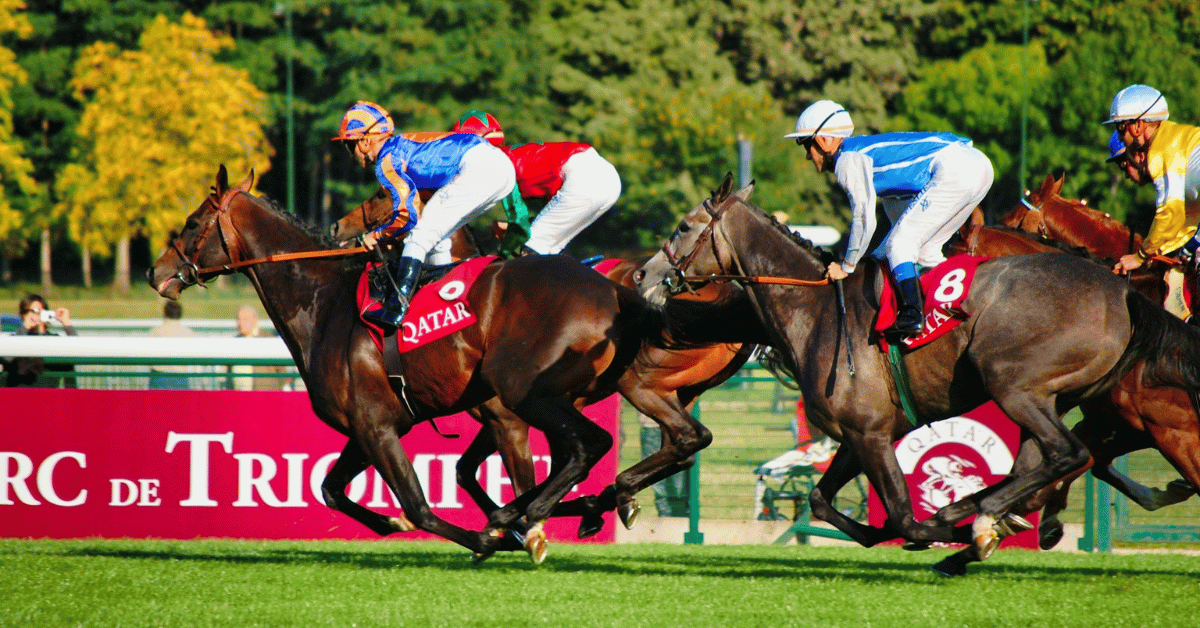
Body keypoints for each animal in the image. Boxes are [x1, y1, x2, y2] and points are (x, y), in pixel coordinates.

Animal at [150, 164, 700, 561]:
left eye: (193, 223)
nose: (157, 272)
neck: (324, 302)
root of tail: (617, 291)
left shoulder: (387, 426)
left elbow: (418, 505)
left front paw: (495, 538)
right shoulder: (369, 426)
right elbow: (331, 489)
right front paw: (395, 522)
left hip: (528, 390)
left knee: (591, 444)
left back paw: (529, 515)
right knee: (672, 440)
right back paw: (576, 505)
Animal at [333, 184, 753, 537]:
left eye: (380, 194)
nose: (339, 226)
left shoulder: (509, 415)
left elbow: (518, 476)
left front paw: (525, 523)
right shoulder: (513, 411)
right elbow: (468, 471)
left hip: (638, 383)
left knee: (681, 440)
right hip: (677, 391)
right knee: (683, 448)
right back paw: (614, 498)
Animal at [633, 172, 1200, 559]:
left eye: (683, 226)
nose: (643, 274)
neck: (815, 309)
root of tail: (1122, 291)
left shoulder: (869, 433)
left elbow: (905, 517)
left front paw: (935, 530)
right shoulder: (861, 434)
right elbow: (819, 499)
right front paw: (882, 531)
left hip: (1015, 386)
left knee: (1068, 453)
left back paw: (975, 514)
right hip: (1057, 398)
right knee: (1052, 462)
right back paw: (992, 514)